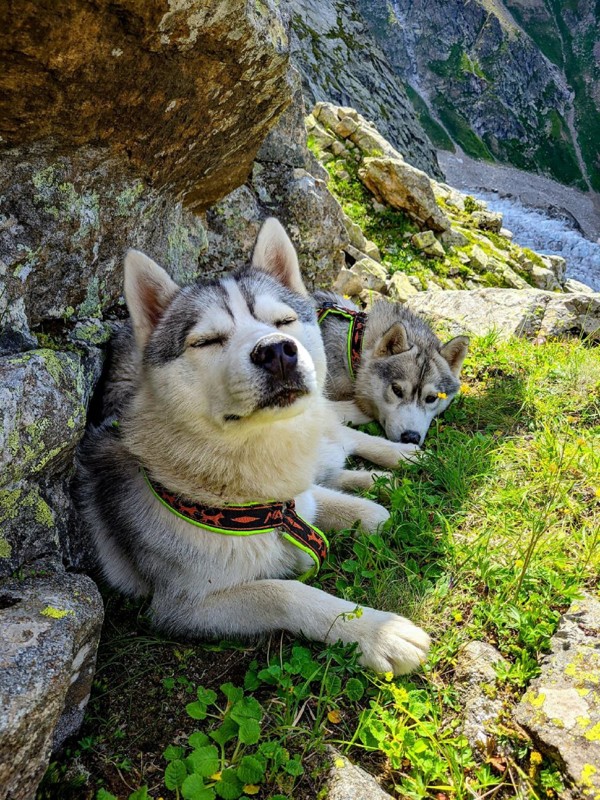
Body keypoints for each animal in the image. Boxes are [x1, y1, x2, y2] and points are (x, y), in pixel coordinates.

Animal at [76, 219, 432, 676]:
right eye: (207, 341)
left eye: (284, 320)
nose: (277, 350)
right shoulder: (181, 607)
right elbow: (284, 592)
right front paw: (379, 632)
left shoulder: (296, 502)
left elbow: (354, 509)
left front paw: (379, 502)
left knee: (343, 442)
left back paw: (395, 462)